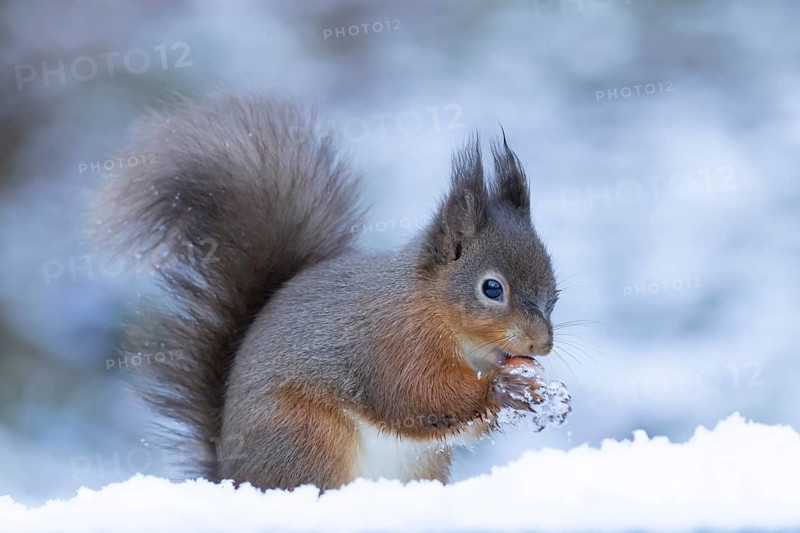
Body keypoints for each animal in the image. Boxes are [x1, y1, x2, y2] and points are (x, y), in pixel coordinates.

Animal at [94, 94, 564, 491]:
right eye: (491, 288)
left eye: (555, 293)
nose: (541, 344)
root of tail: (230, 478)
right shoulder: (392, 347)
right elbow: (418, 396)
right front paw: (502, 388)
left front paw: (535, 393)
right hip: (306, 435)